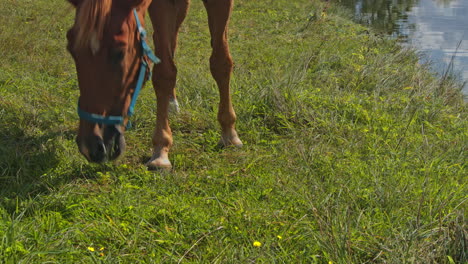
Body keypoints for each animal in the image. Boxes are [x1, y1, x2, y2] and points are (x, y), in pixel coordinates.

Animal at [67, 0, 241, 169]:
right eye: (71, 50)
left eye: (120, 52)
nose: (91, 145)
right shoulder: (162, 5)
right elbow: (165, 73)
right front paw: (161, 152)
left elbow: (221, 63)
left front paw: (229, 133)